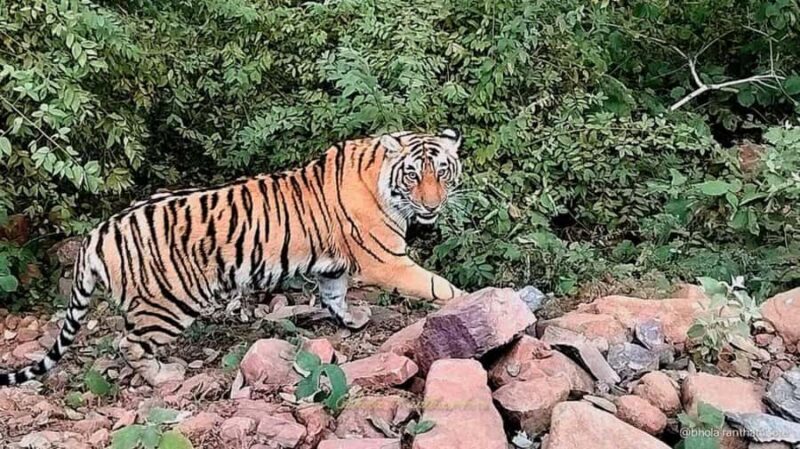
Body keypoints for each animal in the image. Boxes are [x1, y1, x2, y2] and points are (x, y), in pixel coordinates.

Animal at [0, 129, 465, 386]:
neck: (381, 179)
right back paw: (164, 375)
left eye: (441, 171)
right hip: (168, 304)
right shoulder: (387, 260)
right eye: (413, 174)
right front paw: (466, 300)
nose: (432, 205)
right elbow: (437, 285)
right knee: (128, 343)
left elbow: (333, 294)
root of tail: (98, 234)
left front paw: (351, 320)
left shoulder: (333, 267)